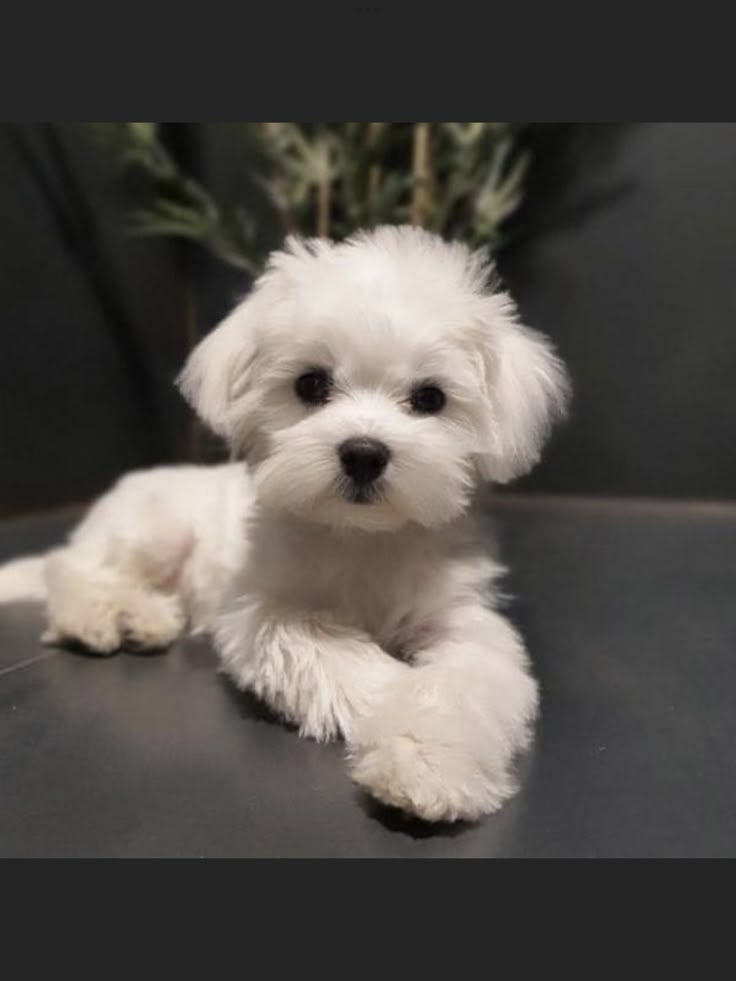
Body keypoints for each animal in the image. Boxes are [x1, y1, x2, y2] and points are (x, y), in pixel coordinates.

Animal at [0, 226, 568, 824]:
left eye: (429, 398)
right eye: (311, 385)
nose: (364, 453)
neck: (363, 538)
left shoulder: (463, 623)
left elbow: (456, 682)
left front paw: (428, 759)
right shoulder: (261, 609)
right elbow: (328, 649)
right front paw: (389, 695)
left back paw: (143, 616)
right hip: (154, 530)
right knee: (73, 569)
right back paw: (102, 615)